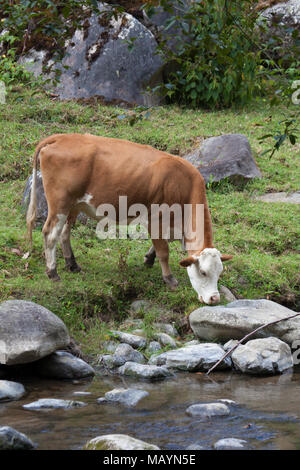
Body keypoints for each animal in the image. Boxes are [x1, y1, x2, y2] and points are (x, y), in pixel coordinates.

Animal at [26, 134, 232, 306]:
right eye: (203, 272)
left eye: (220, 272)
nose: (215, 298)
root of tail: (61, 137)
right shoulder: (155, 219)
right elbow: (164, 251)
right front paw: (169, 278)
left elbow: (159, 246)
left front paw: (149, 258)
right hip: (60, 203)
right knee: (50, 234)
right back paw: (52, 272)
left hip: (74, 205)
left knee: (64, 233)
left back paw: (72, 264)